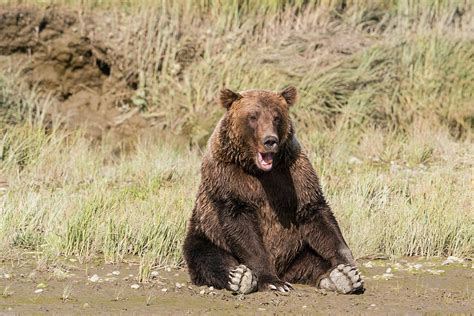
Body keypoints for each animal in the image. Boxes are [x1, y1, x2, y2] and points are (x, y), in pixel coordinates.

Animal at [181, 86, 362, 294]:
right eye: (253, 116)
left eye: (276, 117)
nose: (270, 140)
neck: (258, 170)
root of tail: (286, 270)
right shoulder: (228, 178)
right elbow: (242, 227)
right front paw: (273, 281)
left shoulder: (294, 174)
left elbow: (316, 213)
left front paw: (349, 268)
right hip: (205, 232)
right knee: (206, 256)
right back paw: (239, 276)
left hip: (298, 252)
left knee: (313, 258)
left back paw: (339, 277)